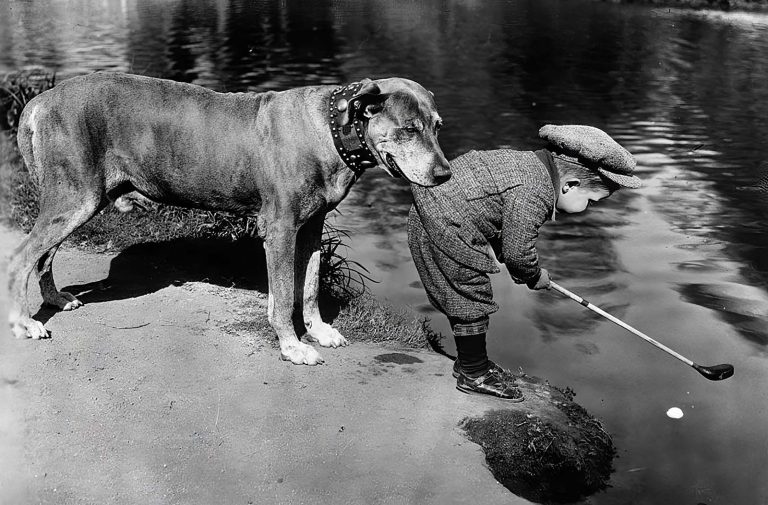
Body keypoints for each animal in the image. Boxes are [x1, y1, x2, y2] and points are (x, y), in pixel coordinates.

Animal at [7, 72, 450, 362]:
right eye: (409, 129)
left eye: (437, 126)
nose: (445, 174)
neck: (330, 129)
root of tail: (42, 99)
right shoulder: (281, 229)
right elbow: (284, 294)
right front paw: (292, 346)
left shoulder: (311, 227)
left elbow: (307, 286)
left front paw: (319, 331)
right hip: (75, 198)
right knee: (22, 258)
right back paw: (26, 323)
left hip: (80, 200)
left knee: (43, 256)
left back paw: (55, 298)